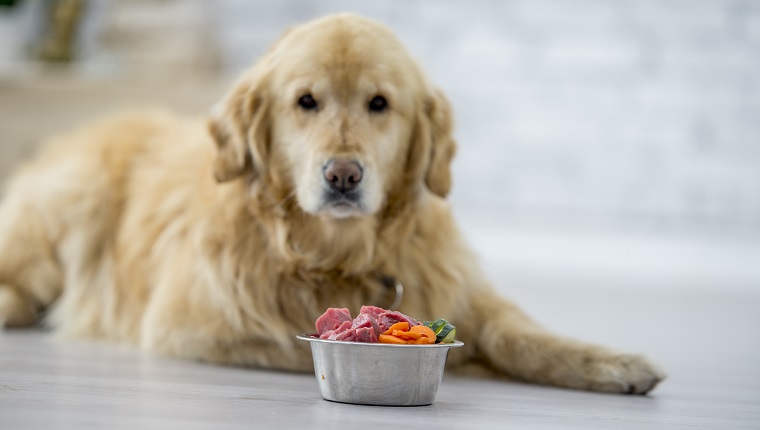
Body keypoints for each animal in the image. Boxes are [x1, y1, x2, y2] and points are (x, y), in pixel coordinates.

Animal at [0, 13, 664, 394]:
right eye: (306, 101)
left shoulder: (459, 286)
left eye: (379, 103)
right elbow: (303, 348)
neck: (336, 254)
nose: (343, 175)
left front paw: (614, 363)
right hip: (70, 204)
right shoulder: (192, 327)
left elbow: (519, 333)